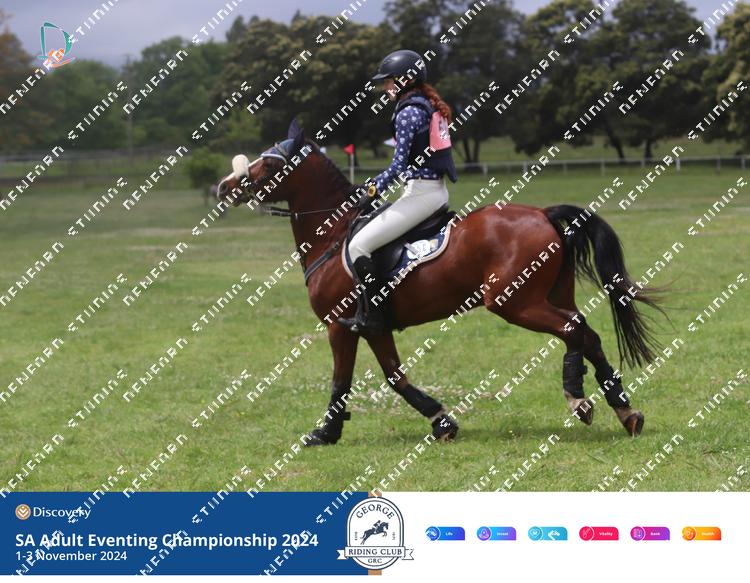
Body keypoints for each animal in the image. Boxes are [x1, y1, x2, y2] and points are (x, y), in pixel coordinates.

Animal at [216, 120, 665, 446]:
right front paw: (441, 421)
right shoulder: (373, 326)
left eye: (269, 164)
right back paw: (624, 411)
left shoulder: (339, 326)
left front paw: (324, 433)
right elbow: (395, 376)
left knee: (573, 330)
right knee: (586, 334)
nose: (224, 186)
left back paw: (579, 398)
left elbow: (341, 381)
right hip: (551, 294)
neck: (333, 234)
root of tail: (541, 213)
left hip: (514, 302)